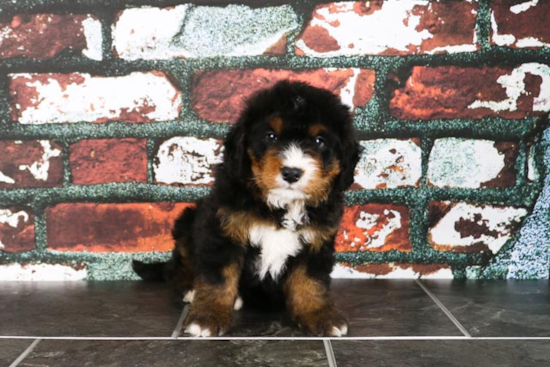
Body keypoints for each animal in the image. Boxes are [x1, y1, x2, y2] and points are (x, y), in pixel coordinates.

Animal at [134, 80, 362, 336]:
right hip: (188, 221)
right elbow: (218, 278)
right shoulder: (222, 230)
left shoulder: (317, 240)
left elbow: (312, 281)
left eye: (319, 141)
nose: (292, 173)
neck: (281, 205)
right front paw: (208, 316)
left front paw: (320, 315)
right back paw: (189, 289)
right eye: (270, 136)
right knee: (176, 267)